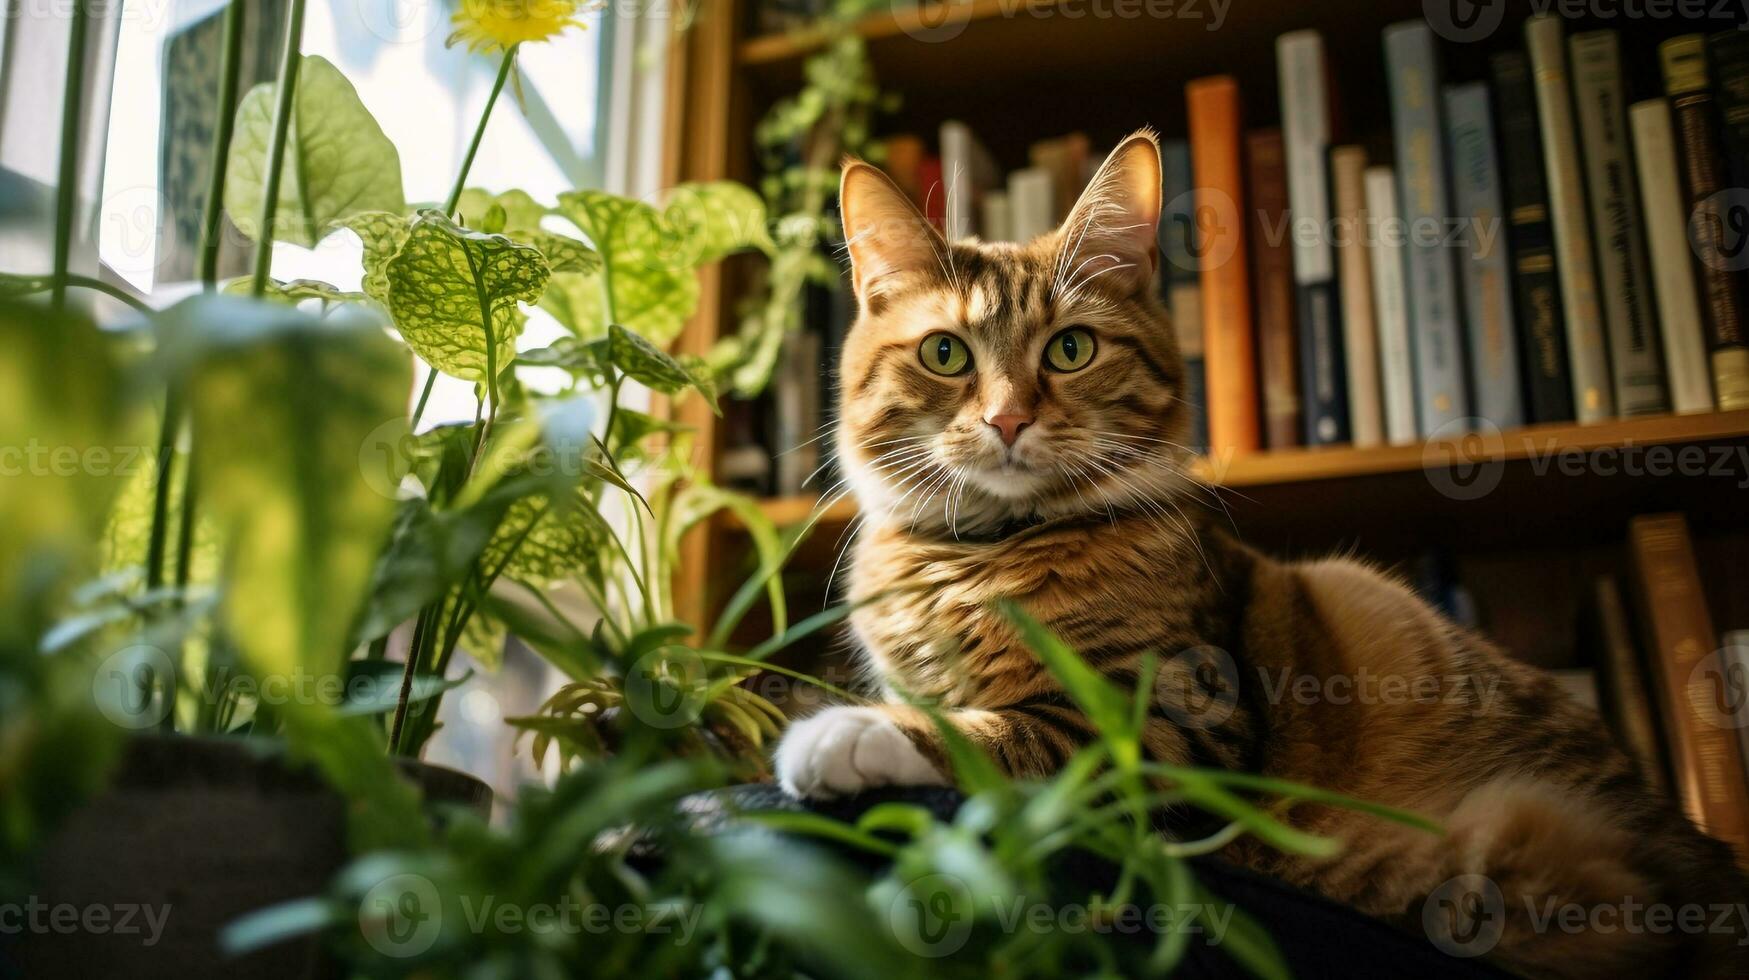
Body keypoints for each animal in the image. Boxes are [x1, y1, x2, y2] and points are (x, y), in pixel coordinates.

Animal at [773, 132, 1749, 980]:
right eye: (945, 353)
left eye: (1070, 348)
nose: (1008, 419)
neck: (978, 558)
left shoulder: (1176, 725)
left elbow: (1011, 734)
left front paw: (846, 733)